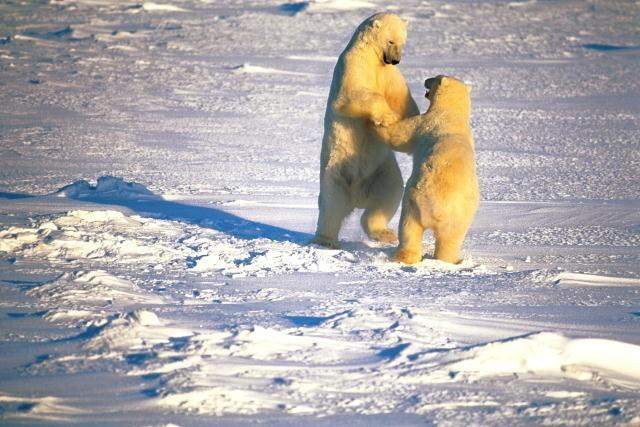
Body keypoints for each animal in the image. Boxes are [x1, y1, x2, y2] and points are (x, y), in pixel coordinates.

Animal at [312, 12, 420, 251]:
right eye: (390, 41)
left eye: (403, 42)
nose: (397, 60)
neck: (374, 58)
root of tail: (357, 198)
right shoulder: (353, 64)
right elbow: (352, 93)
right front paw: (386, 117)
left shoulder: (389, 74)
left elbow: (402, 99)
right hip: (335, 173)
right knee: (331, 206)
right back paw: (325, 240)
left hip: (382, 172)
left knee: (387, 197)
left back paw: (385, 233)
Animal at [378, 76, 478, 264]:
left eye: (435, 78)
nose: (425, 80)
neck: (453, 114)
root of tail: (439, 209)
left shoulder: (425, 123)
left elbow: (399, 137)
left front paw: (380, 120)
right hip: (460, 219)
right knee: (450, 241)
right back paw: (448, 260)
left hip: (413, 203)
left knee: (408, 228)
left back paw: (403, 257)